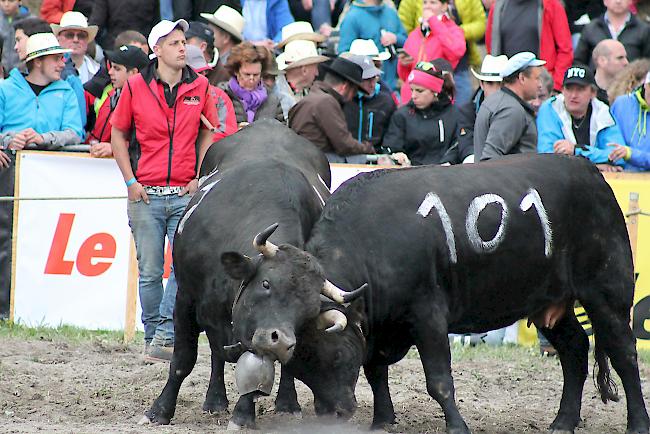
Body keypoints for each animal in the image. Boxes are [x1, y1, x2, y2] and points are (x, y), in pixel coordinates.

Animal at [142, 120, 364, 428]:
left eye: (307, 313)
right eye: (266, 283)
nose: (281, 341)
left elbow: (258, 372)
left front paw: (243, 415)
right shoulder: (185, 297)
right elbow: (183, 360)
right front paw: (159, 410)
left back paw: (286, 403)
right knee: (215, 354)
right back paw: (214, 400)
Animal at [223, 154, 648, 432]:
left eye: (335, 353)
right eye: (299, 361)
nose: (336, 413)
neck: (373, 242)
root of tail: (591, 174)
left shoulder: (427, 315)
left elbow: (439, 380)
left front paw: (457, 426)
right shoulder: (382, 328)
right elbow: (376, 371)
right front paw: (381, 421)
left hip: (608, 293)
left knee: (624, 354)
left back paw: (637, 423)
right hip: (549, 304)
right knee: (575, 350)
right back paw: (562, 422)